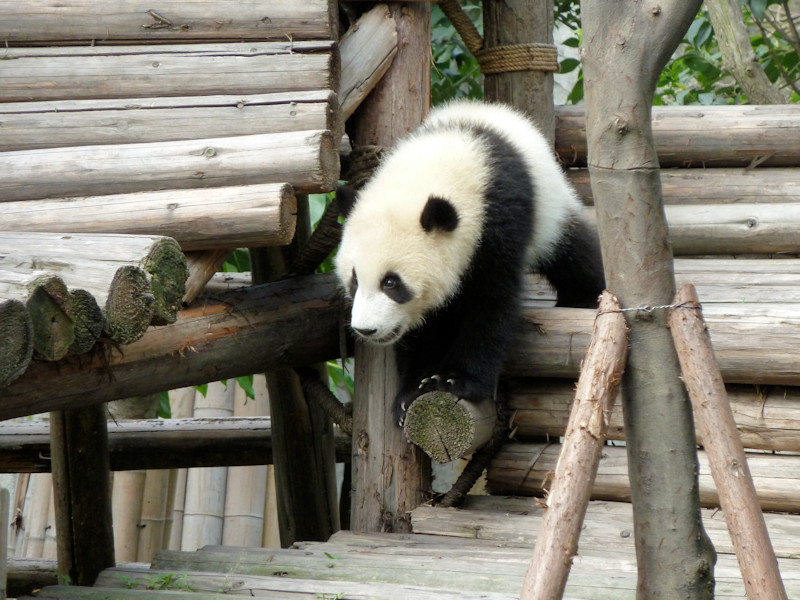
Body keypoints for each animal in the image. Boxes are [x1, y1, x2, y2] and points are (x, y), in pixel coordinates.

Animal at [335, 100, 605, 425]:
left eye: (391, 282)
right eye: (354, 280)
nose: (366, 329)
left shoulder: (499, 218)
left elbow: (491, 303)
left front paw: (454, 380)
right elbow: (426, 327)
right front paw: (411, 392)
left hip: (550, 209)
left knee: (573, 253)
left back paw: (585, 297)